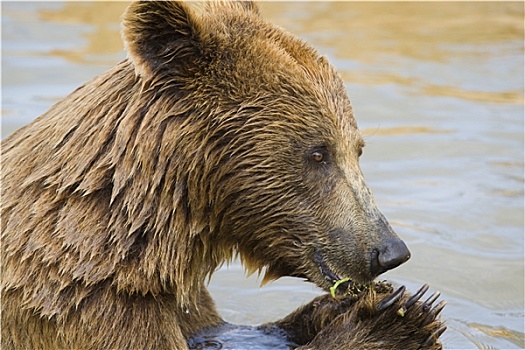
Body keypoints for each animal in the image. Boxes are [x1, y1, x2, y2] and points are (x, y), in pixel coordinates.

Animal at [0, 1, 444, 348]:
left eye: (358, 149)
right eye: (319, 153)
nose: (390, 251)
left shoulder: (187, 305)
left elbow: (229, 331)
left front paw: (389, 303)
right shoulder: (81, 310)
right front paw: (395, 321)